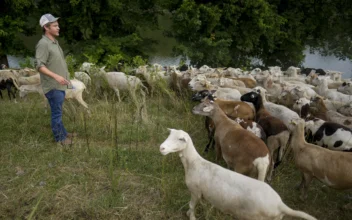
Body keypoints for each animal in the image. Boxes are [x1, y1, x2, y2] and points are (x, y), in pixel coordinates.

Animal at [160, 128, 316, 220]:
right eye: (169, 135)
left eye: (180, 139)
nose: (161, 148)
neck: (194, 163)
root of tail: (280, 204)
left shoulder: (195, 192)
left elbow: (192, 206)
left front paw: (190, 216)